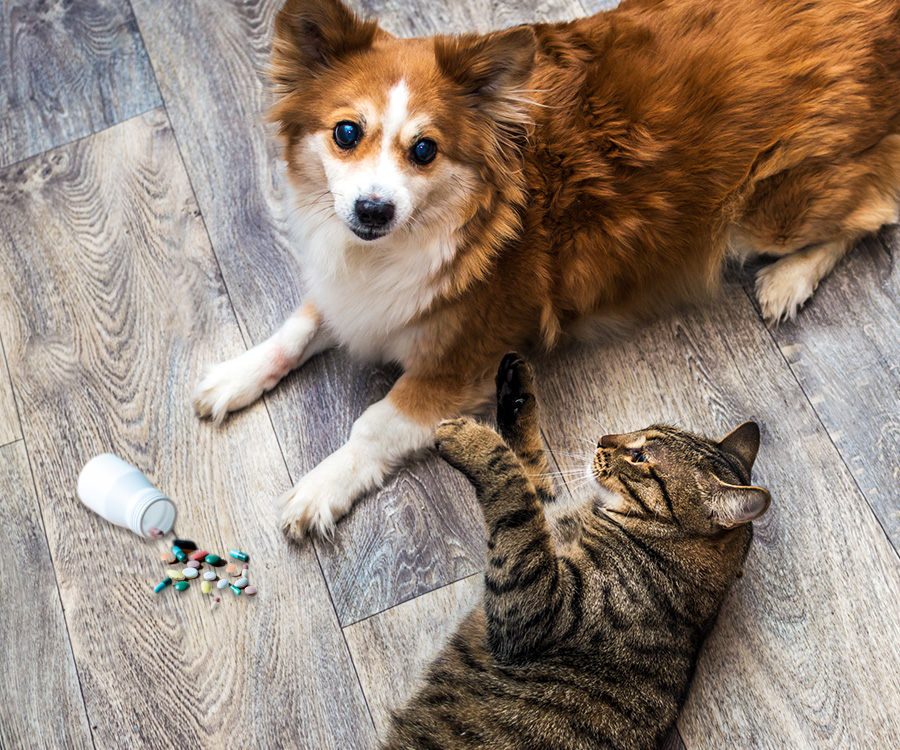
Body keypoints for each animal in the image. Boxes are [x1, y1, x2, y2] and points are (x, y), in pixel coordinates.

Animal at [193, 0, 900, 540]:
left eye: (424, 150)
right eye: (345, 133)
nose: (372, 209)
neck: (421, 233)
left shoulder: (461, 360)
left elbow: (375, 425)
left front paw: (320, 487)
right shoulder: (354, 288)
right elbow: (301, 325)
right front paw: (237, 376)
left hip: (765, 213)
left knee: (873, 208)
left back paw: (789, 280)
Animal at [382, 356, 772, 750]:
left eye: (640, 455)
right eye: (640, 430)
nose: (603, 438)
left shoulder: (534, 606)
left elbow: (511, 480)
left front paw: (472, 438)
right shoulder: (546, 517)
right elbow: (528, 467)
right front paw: (515, 390)